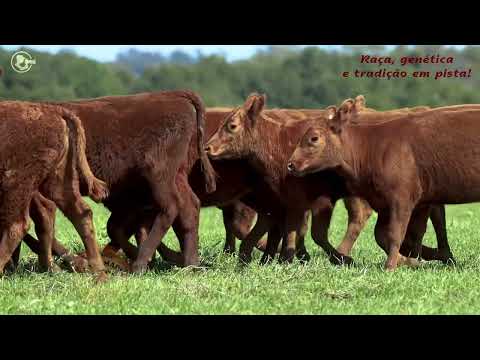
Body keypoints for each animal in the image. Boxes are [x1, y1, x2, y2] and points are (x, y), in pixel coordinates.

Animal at [0, 102, 108, 278]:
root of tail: (54, 110)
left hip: (17, 185)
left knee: (18, 224)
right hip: (58, 179)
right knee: (79, 212)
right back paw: (98, 272)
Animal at [288, 97, 480, 270]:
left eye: (314, 138)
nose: (291, 164)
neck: (371, 148)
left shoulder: (401, 199)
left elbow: (395, 234)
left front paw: (391, 266)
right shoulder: (388, 203)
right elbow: (385, 235)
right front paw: (411, 261)